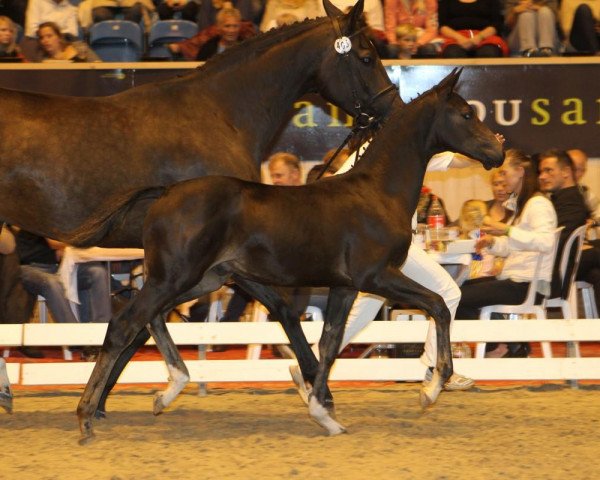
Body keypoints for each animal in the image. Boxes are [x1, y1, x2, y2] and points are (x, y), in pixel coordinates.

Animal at [77, 68, 504, 442]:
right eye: (466, 114)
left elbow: (330, 342)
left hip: (202, 278)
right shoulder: (377, 276)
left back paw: (164, 392)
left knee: (148, 319)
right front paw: (430, 390)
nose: (498, 151)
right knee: (124, 324)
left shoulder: (346, 286)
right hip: (176, 277)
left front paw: (324, 414)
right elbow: (438, 307)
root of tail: (164, 194)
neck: (377, 193)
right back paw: (86, 417)